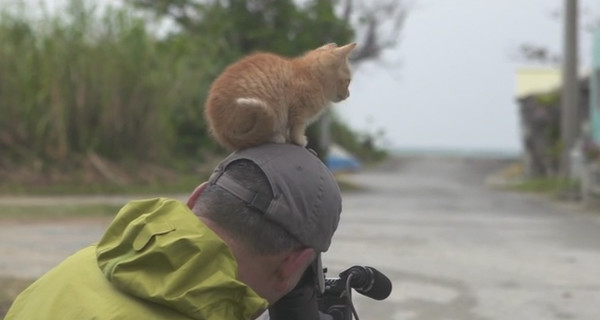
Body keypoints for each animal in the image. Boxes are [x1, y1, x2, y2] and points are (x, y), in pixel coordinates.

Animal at [204, 42, 358, 151]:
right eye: (348, 81)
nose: (348, 94)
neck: (311, 76)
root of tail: (221, 131)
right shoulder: (299, 110)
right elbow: (297, 129)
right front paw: (300, 140)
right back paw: (276, 136)